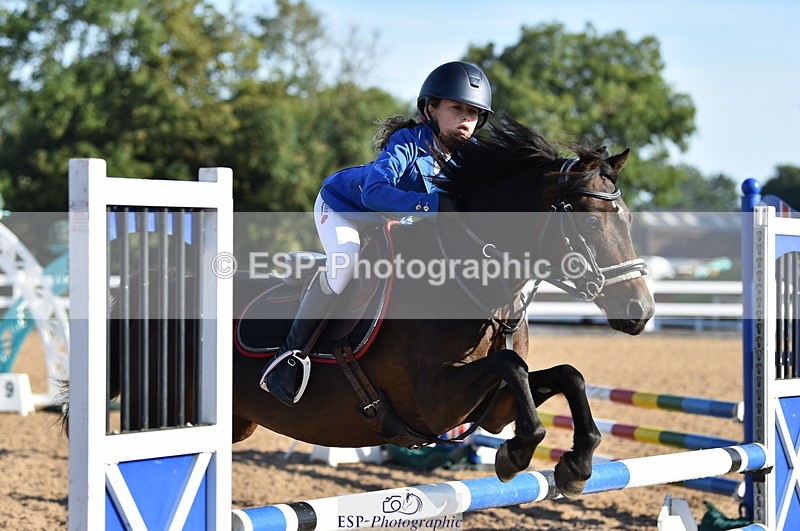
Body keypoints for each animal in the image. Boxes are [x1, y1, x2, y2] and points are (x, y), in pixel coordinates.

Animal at [65, 117, 654, 499]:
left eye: (627, 219)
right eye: (588, 224)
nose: (640, 312)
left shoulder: (490, 408)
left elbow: (565, 375)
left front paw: (575, 466)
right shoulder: (435, 403)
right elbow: (511, 367)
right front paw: (515, 457)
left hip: (233, 424)